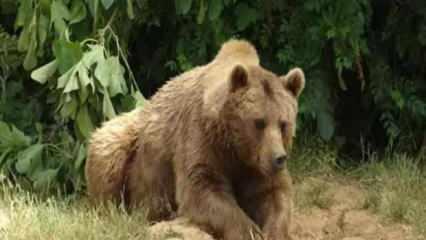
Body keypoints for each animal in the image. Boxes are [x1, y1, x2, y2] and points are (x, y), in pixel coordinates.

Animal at [85, 39, 304, 240]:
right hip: (129, 138)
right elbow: (200, 190)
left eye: (284, 123)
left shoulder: (255, 165)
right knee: (108, 151)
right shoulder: (199, 137)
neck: (235, 146)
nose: (278, 158)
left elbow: (274, 193)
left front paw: (272, 231)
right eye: (259, 122)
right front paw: (250, 231)